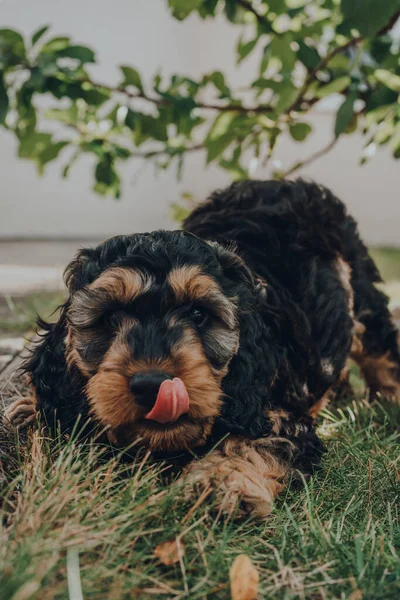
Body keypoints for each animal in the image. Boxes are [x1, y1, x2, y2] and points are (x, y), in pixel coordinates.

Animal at [7, 178, 400, 516]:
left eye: (199, 314)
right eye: (110, 317)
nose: (152, 385)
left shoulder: (276, 412)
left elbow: (250, 441)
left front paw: (218, 483)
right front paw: (26, 417)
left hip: (363, 292)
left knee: (380, 347)